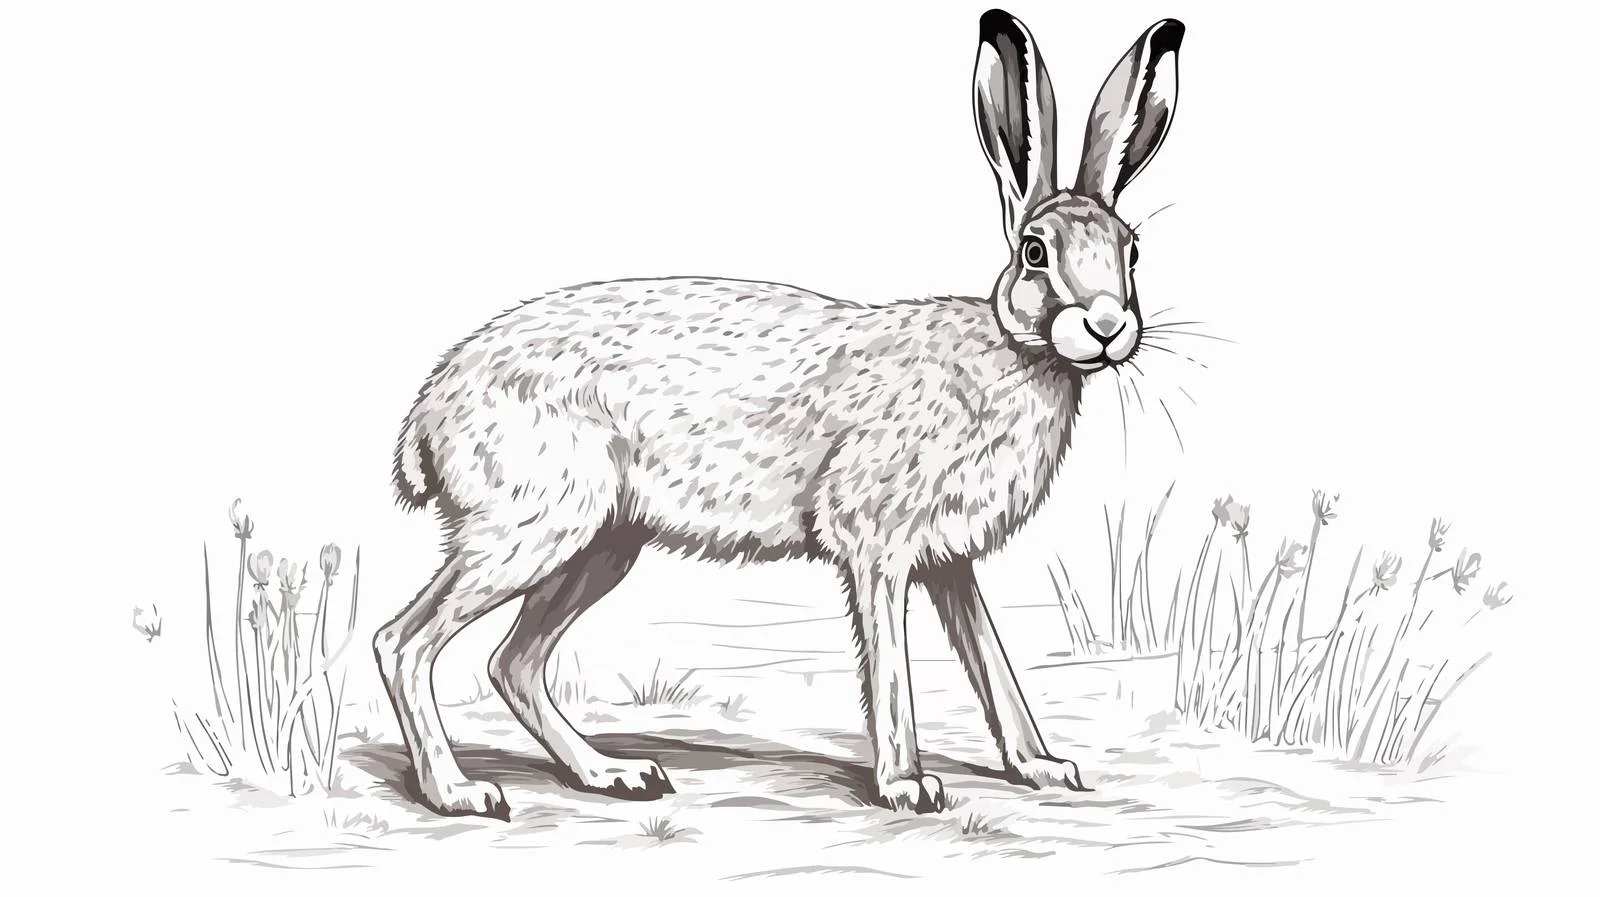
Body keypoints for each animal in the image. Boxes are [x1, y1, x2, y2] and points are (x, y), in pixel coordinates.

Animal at [376, 8, 1184, 820]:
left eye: (1132, 251)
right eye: (1035, 251)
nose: (1108, 325)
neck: (1014, 351)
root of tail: (429, 412)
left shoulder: (948, 560)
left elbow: (992, 661)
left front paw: (1043, 766)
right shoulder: (876, 543)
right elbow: (891, 666)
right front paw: (907, 784)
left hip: (602, 541)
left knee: (512, 662)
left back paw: (615, 774)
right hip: (534, 523)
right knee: (404, 642)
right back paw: (459, 791)